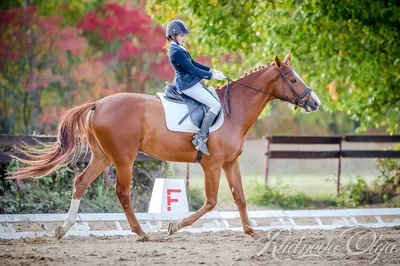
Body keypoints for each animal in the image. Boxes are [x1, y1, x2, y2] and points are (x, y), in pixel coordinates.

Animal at [9, 53, 320, 240]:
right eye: (293, 79)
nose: (315, 102)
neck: (234, 111)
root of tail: (99, 103)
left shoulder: (231, 163)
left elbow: (240, 198)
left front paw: (251, 230)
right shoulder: (212, 165)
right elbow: (211, 202)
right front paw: (174, 226)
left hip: (102, 157)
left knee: (81, 182)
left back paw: (64, 228)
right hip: (124, 159)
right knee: (122, 193)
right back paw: (141, 233)